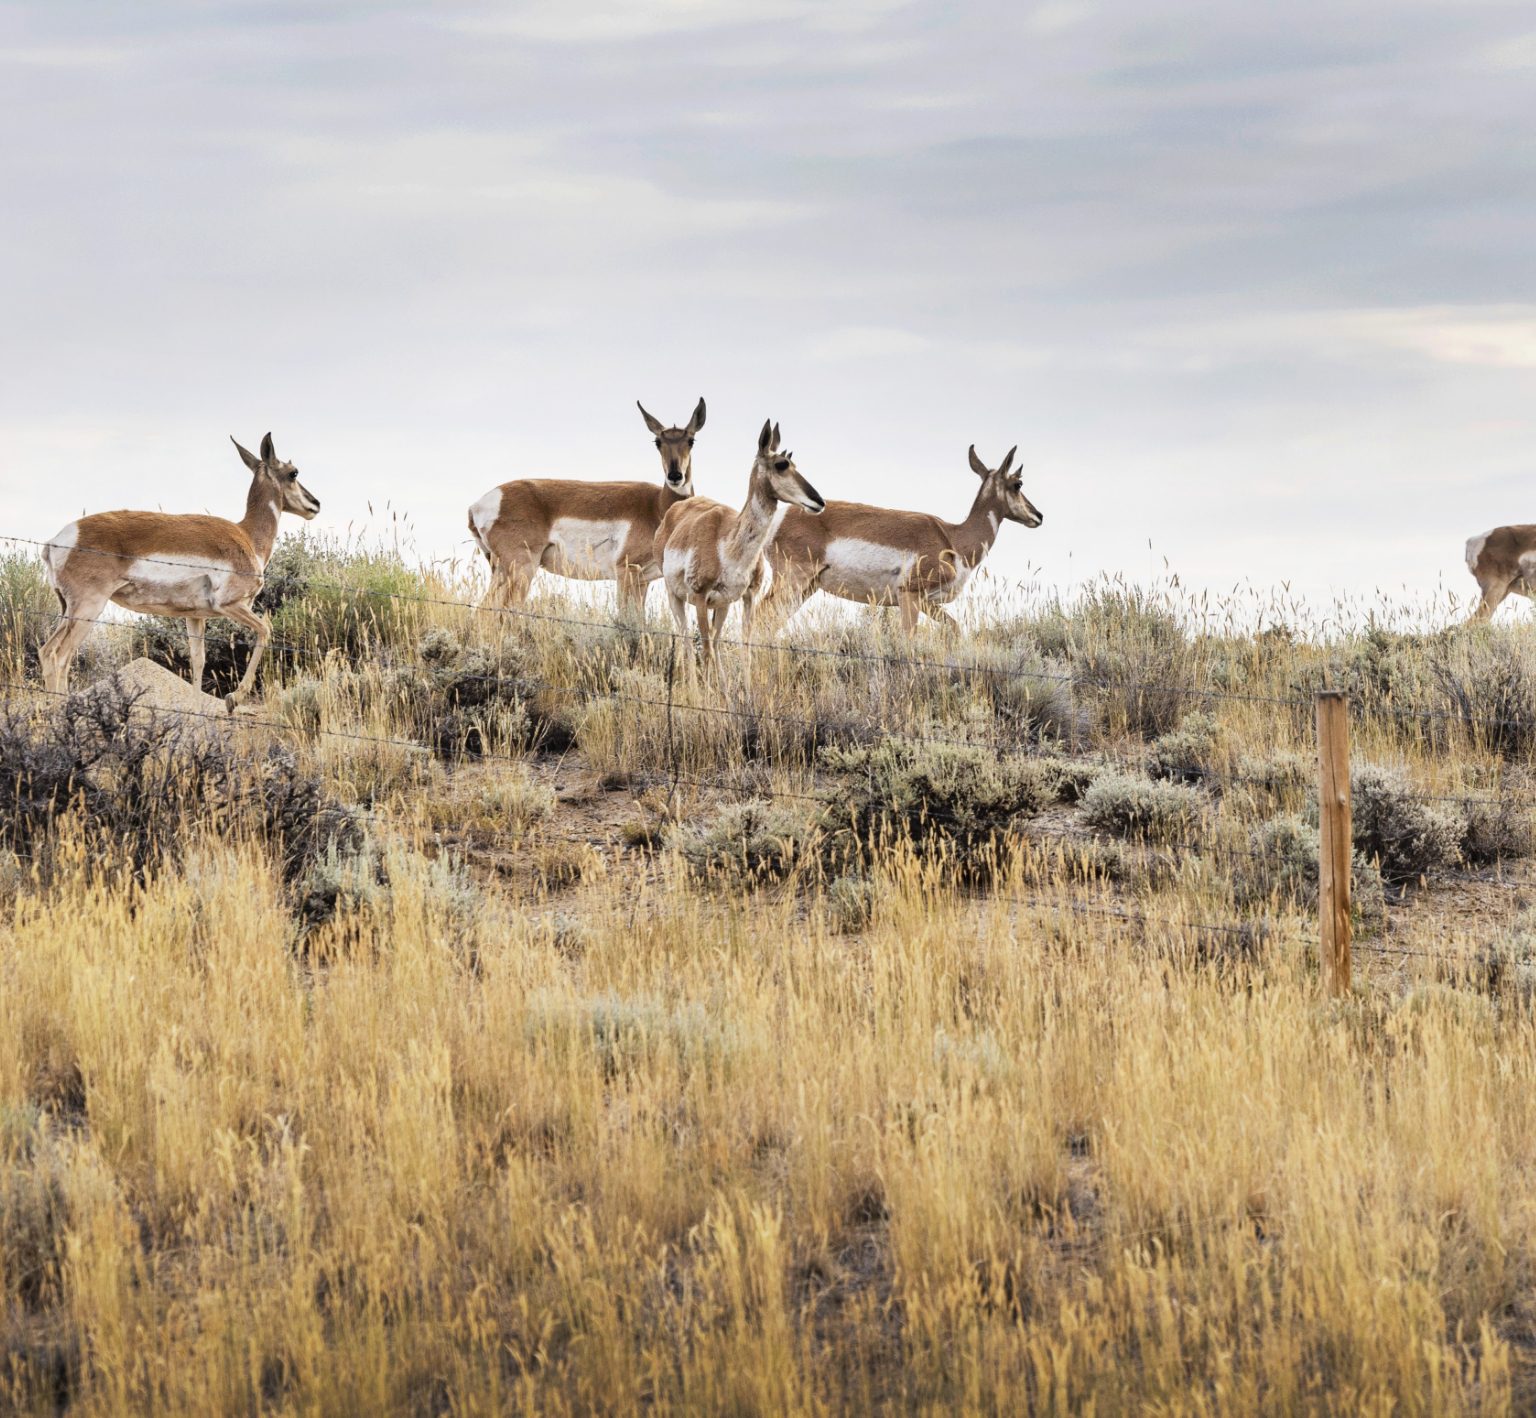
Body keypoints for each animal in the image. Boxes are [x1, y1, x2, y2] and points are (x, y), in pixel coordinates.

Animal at [39, 427, 321, 703]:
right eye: (293, 472)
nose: (316, 504)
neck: (247, 536)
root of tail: (57, 541)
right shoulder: (231, 604)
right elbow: (266, 629)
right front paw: (233, 698)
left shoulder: (195, 617)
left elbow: (198, 661)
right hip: (88, 608)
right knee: (59, 656)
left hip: (68, 611)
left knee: (46, 651)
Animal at [466, 402, 706, 617]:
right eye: (658, 441)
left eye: (691, 440)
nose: (675, 476)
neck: (657, 506)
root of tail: (480, 504)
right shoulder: (626, 572)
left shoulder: (642, 580)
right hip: (522, 569)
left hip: (501, 571)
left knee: (483, 611)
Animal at [660, 417, 829, 666]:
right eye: (781, 464)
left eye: (794, 463)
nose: (819, 501)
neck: (728, 548)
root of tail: (676, 509)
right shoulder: (700, 598)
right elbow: (706, 652)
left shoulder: (748, 596)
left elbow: (745, 649)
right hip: (676, 597)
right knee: (688, 644)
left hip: (722, 605)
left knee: (715, 643)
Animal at [758, 442, 1044, 632]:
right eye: (1017, 484)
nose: (1039, 515)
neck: (953, 538)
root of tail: (780, 517)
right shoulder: (910, 595)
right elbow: (909, 638)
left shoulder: (928, 602)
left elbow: (954, 629)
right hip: (792, 582)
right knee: (760, 616)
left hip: (805, 588)